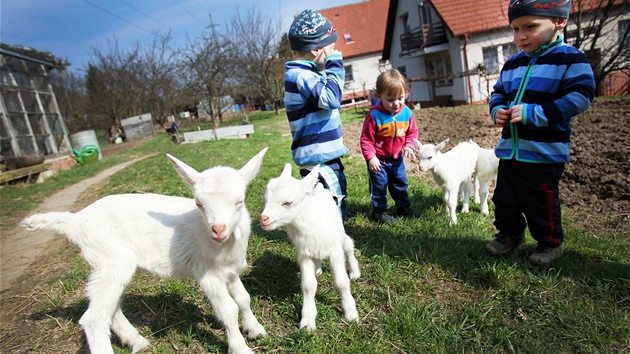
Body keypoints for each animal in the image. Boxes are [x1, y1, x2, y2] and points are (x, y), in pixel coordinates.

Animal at [18, 147, 270, 354]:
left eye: (239, 201)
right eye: (199, 204)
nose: (218, 230)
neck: (223, 246)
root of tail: (75, 221)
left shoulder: (231, 270)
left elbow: (243, 299)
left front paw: (256, 330)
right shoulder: (208, 274)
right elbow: (228, 309)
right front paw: (241, 348)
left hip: (109, 264)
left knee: (111, 306)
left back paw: (137, 342)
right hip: (110, 258)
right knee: (93, 318)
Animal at [260, 165, 360, 330]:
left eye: (288, 203)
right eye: (266, 199)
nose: (264, 220)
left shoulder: (335, 251)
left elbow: (341, 282)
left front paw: (351, 313)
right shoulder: (304, 254)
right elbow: (308, 285)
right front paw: (307, 322)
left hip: (340, 234)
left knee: (349, 245)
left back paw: (355, 272)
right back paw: (318, 269)